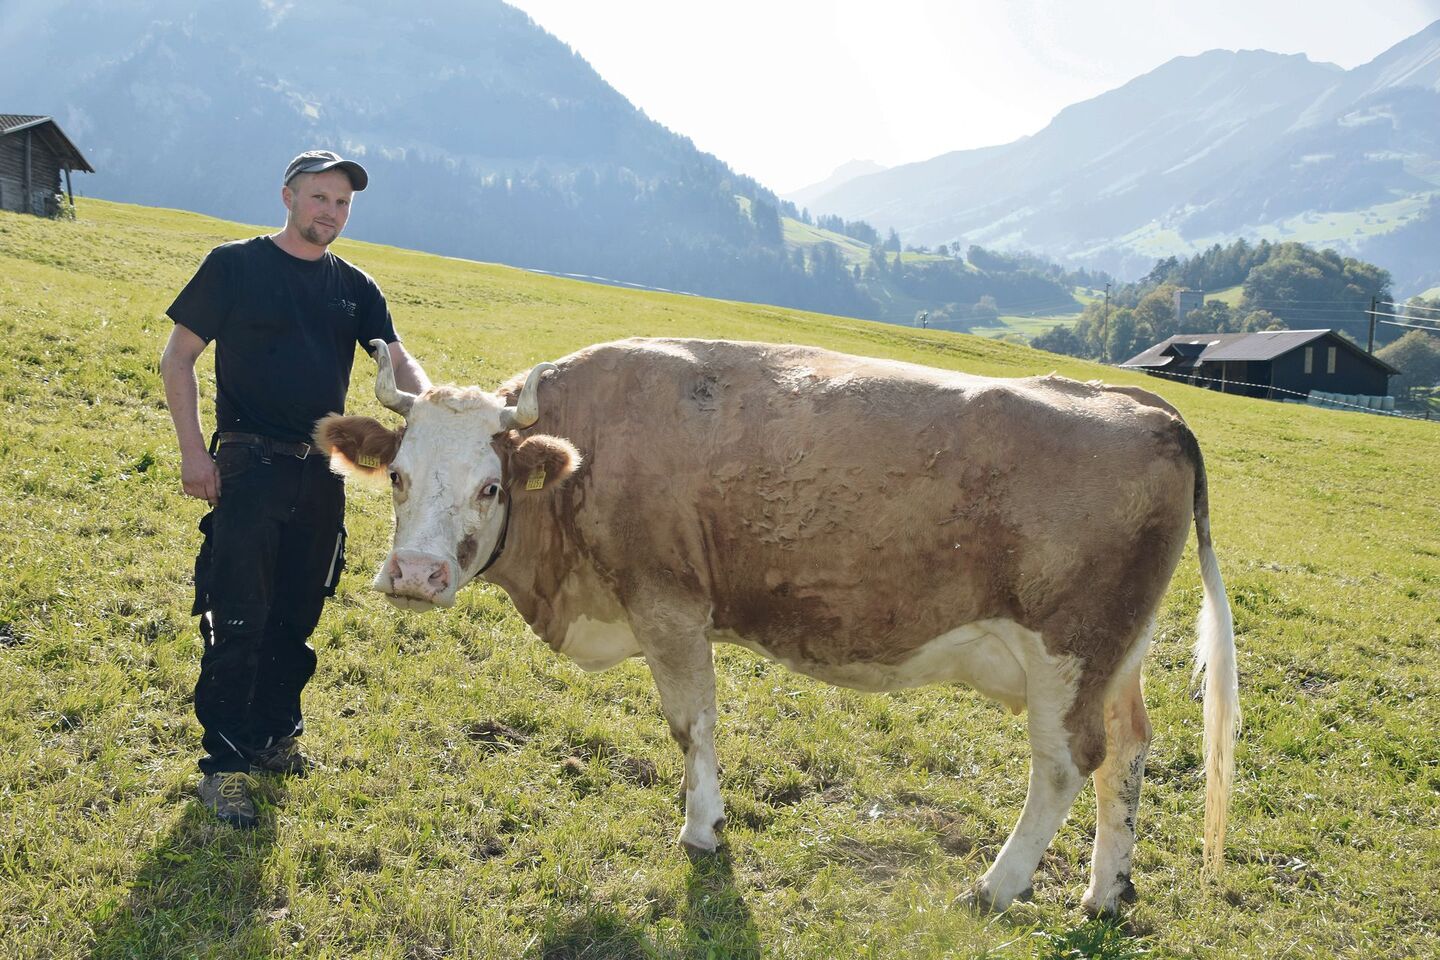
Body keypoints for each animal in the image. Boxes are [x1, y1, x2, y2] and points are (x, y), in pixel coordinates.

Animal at [315, 337, 1239, 916]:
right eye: (397, 475)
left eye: (491, 486)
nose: (415, 576)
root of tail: (1146, 405)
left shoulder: (670, 606)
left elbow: (691, 724)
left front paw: (702, 828)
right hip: (1116, 655)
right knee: (1128, 751)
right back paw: (1105, 891)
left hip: (1067, 649)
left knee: (1065, 763)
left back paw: (995, 887)